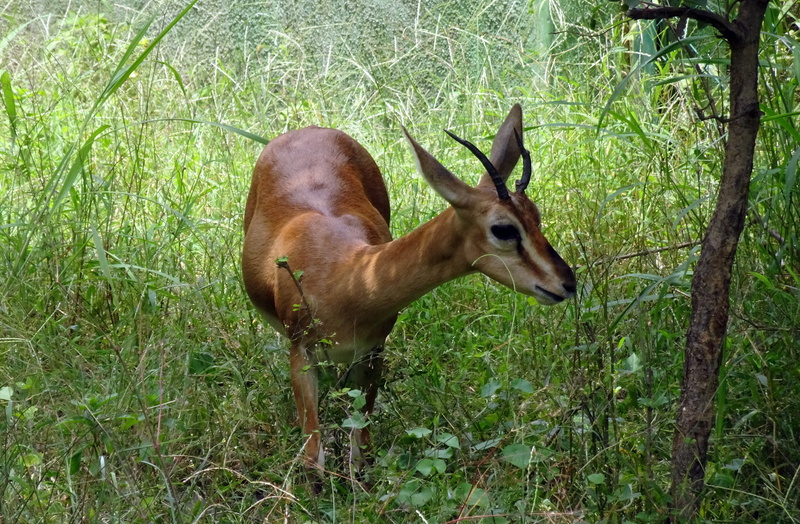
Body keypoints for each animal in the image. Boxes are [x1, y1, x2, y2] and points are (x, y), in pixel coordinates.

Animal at [241, 104, 576, 479]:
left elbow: (361, 452)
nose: (567, 282)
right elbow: (314, 460)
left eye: (536, 217)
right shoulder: (301, 352)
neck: (347, 276)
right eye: (503, 228)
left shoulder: (373, 350)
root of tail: (309, 129)